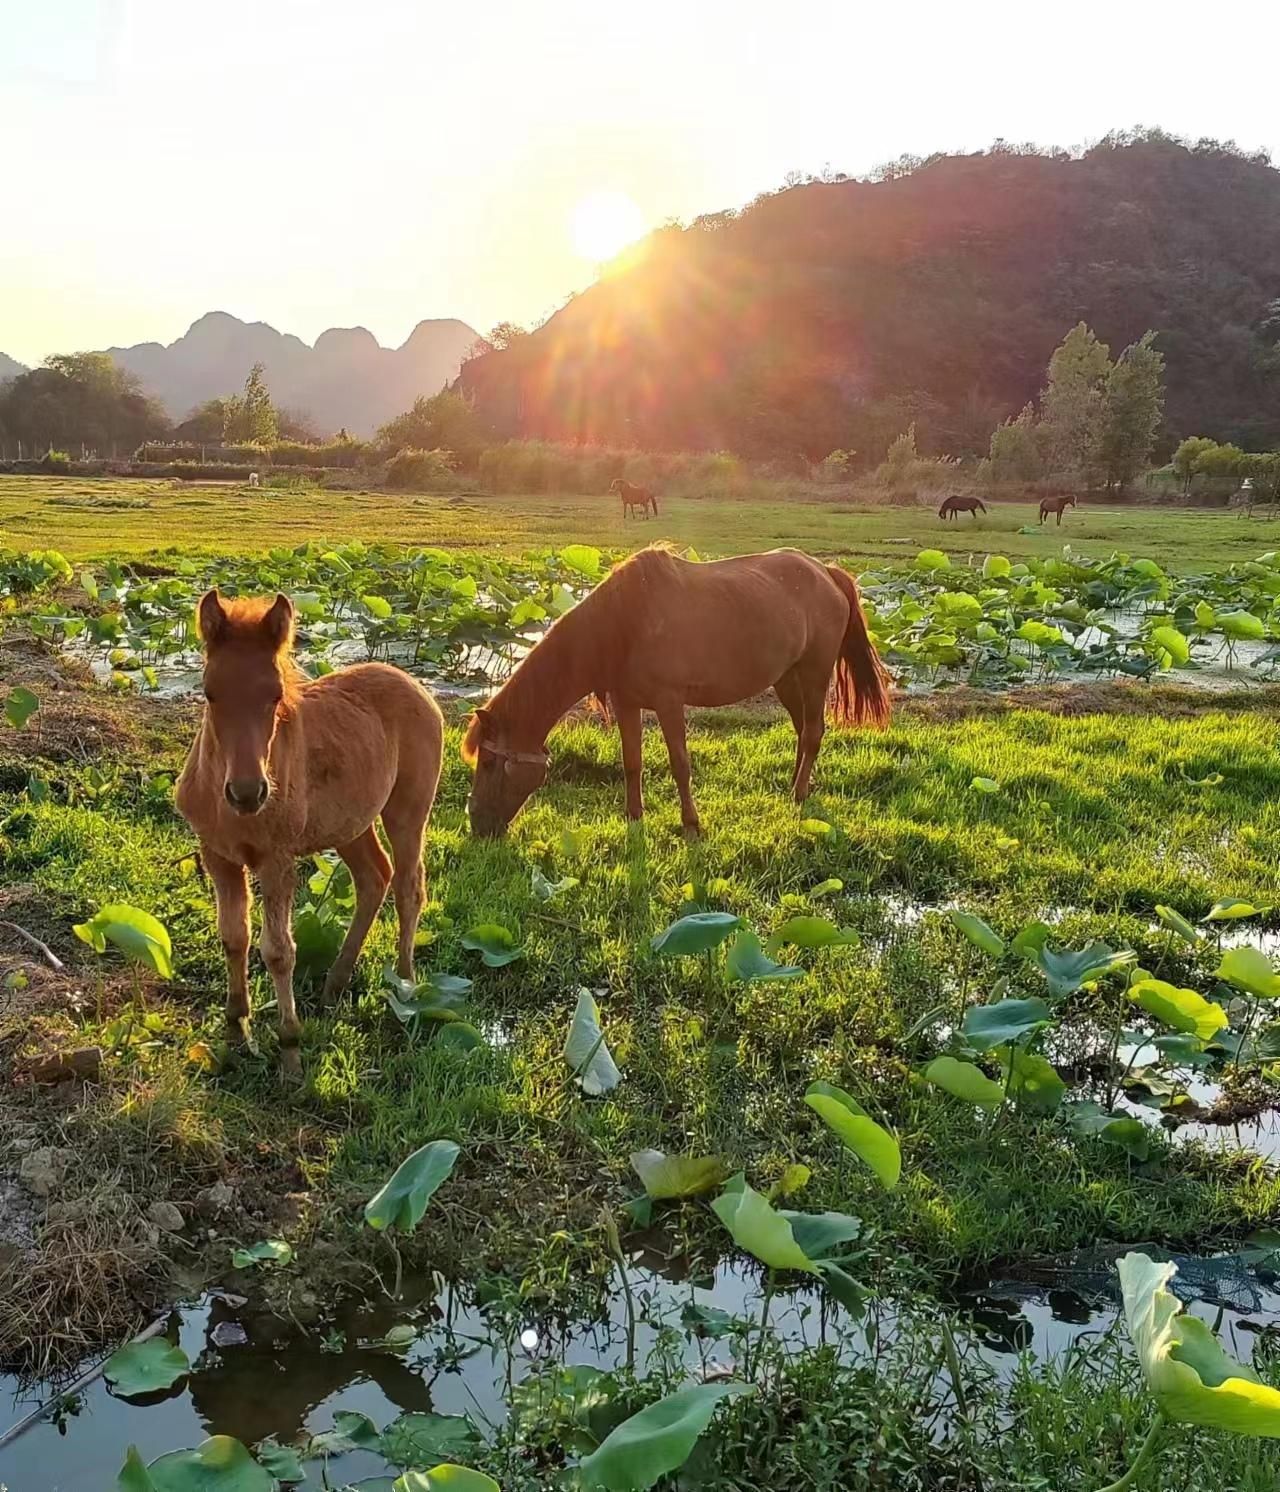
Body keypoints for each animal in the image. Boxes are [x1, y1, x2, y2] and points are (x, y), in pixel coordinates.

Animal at [176, 590, 444, 1074]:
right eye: (209, 692)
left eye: (275, 694)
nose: (248, 792)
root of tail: (411, 682)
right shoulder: (218, 856)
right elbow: (234, 937)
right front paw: (236, 1028)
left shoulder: (277, 861)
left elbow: (279, 950)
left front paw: (290, 1050)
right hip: (350, 824)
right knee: (374, 877)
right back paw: (335, 985)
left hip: (407, 812)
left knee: (408, 887)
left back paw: (405, 985)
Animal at [459, 546, 889, 841]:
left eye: (489, 763)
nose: (475, 822)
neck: (624, 624)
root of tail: (826, 572)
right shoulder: (627, 703)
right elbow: (631, 762)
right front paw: (634, 817)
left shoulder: (669, 703)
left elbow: (680, 764)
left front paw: (691, 824)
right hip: (786, 678)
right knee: (803, 731)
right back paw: (797, 786)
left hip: (815, 673)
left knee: (814, 731)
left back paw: (798, 795)